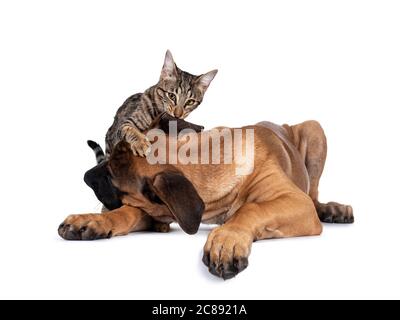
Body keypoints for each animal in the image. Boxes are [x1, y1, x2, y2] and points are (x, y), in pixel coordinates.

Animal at [58, 121, 354, 278]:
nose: (86, 176)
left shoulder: (295, 202)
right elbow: (125, 213)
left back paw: (333, 209)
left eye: (110, 176)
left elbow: (251, 209)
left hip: (314, 131)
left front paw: (227, 239)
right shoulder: (156, 207)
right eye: (107, 160)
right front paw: (91, 221)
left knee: (314, 196)